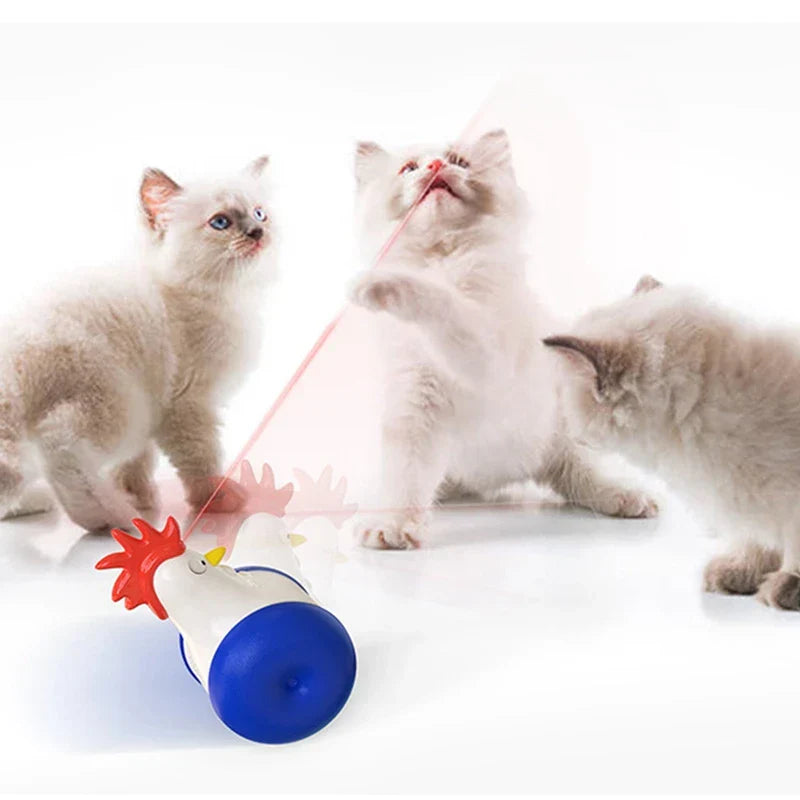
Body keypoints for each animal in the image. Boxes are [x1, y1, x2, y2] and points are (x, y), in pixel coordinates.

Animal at [350, 130, 656, 552]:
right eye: (409, 168)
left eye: (459, 162)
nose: (435, 167)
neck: (443, 257)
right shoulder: (413, 398)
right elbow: (406, 475)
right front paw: (394, 525)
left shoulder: (490, 351)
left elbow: (441, 301)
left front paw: (379, 285)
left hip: (563, 432)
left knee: (582, 473)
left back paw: (627, 496)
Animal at [544, 276, 800, 612]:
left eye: (564, 400)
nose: (562, 427)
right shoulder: (746, 502)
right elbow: (756, 541)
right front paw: (739, 573)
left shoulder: (789, 498)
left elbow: (792, 549)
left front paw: (785, 587)